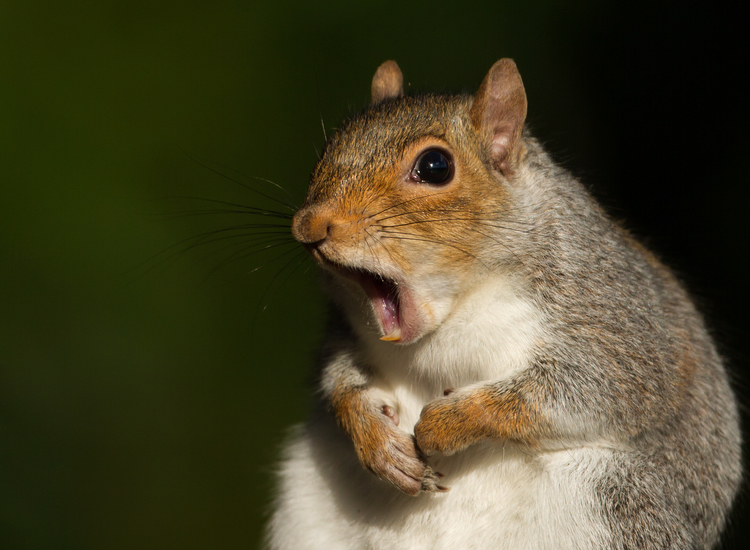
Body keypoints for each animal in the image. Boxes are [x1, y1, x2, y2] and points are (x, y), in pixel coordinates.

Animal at [264, 59, 742, 549]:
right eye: (328, 148)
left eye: (435, 166)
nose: (308, 225)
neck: (455, 311)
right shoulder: (345, 329)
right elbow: (340, 378)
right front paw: (375, 438)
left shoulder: (615, 321)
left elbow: (585, 390)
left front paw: (447, 422)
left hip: (620, 501)